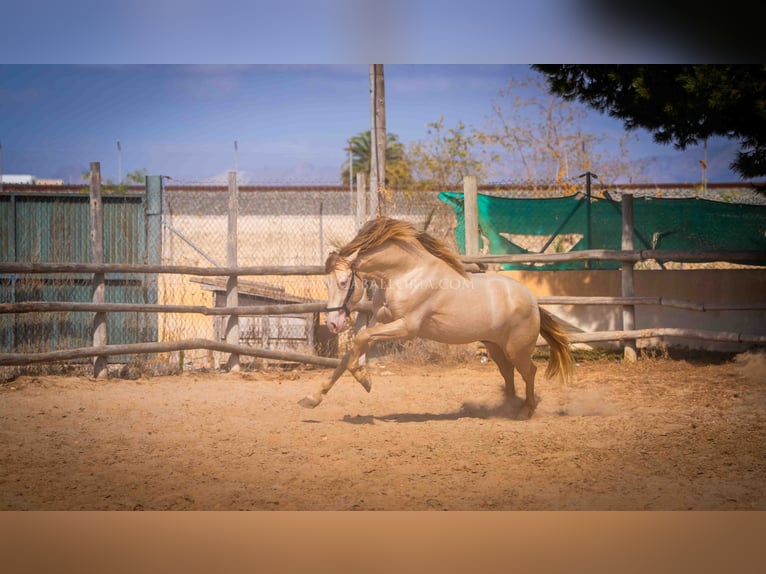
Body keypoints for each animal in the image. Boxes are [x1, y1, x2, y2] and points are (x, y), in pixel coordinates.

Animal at [300, 217, 576, 418]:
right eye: (325, 283)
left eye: (343, 282)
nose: (333, 324)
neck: (406, 274)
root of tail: (532, 300)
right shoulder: (382, 321)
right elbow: (349, 354)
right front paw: (312, 399)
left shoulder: (406, 327)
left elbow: (360, 341)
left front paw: (363, 378)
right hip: (495, 346)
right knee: (508, 373)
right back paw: (506, 408)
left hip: (517, 348)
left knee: (530, 371)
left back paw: (525, 411)